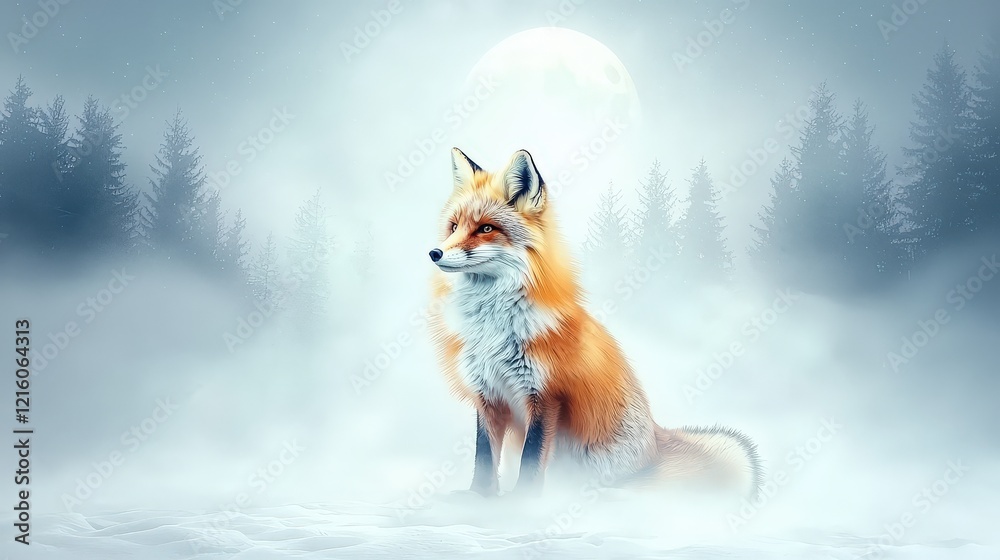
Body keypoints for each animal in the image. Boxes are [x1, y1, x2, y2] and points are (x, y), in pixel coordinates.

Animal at [427, 147, 762, 498]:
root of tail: (655, 447)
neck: (492, 329)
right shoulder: (488, 395)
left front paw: (523, 502)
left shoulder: (546, 396)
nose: (434, 253)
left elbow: (530, 460)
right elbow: (483, 457)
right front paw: (479, 497)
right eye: (453, 227)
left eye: (486, 229)